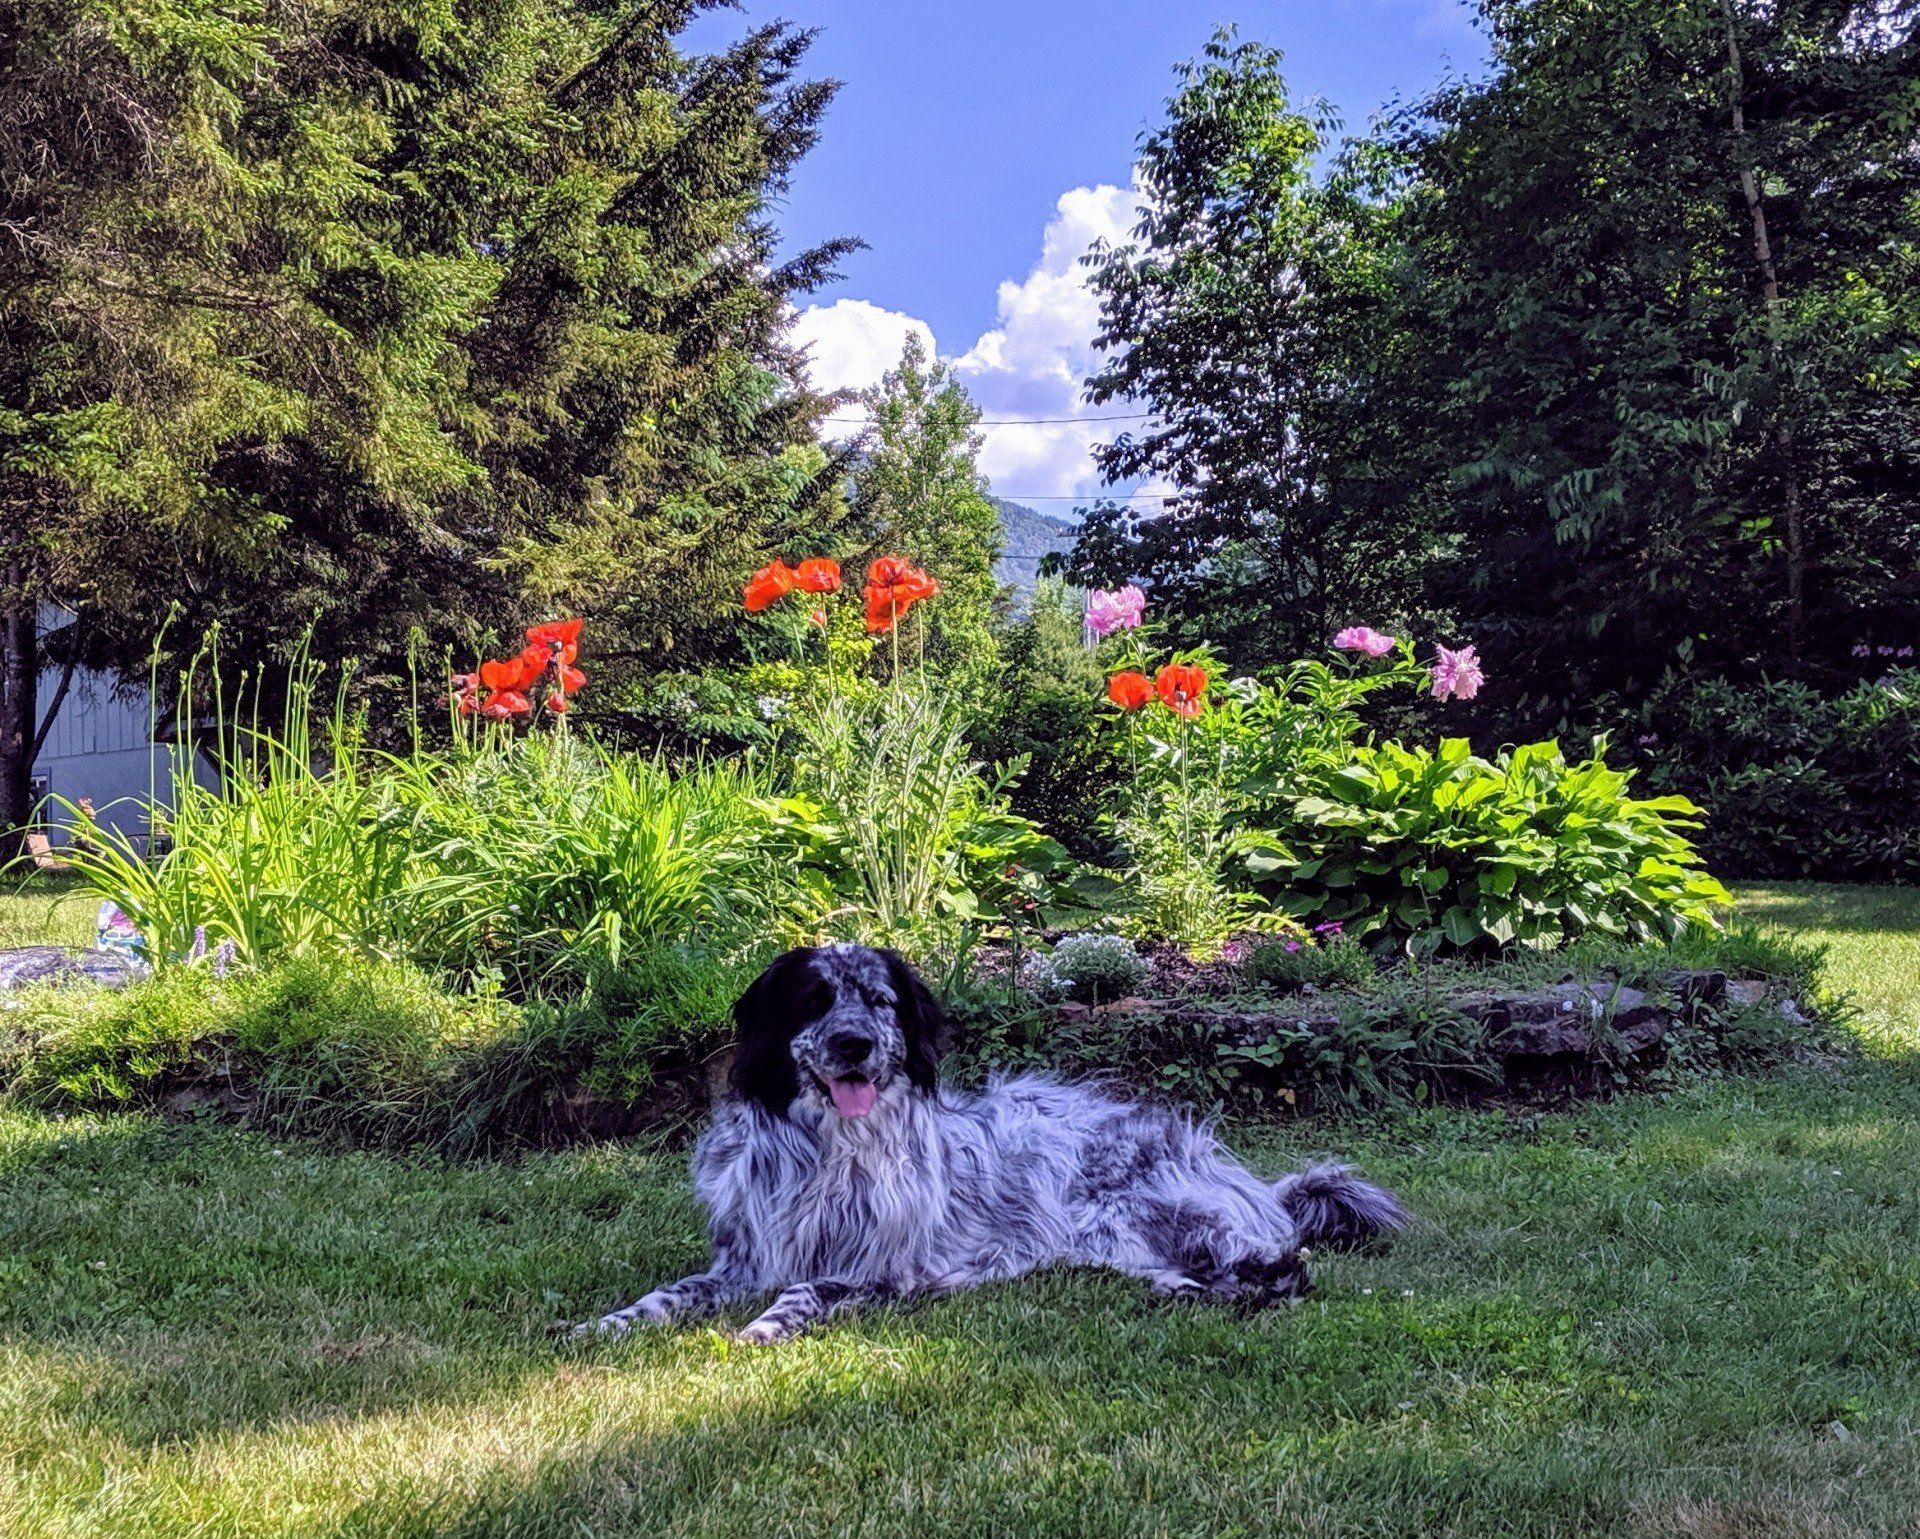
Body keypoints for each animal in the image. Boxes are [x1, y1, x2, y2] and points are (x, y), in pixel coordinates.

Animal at [576, 940, 1405, 1335]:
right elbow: (666, 1294)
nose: (853, 1044)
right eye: (814, 1001)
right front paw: (597, 1324)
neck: (834, 1152)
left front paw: (763, 1327)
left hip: (1147, 1212)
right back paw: (1175, 1289)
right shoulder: (744, 1257)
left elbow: (807, 1289)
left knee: (1286, 1269)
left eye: (879, 1001)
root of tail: (1257, 1182)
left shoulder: (892, 1270)